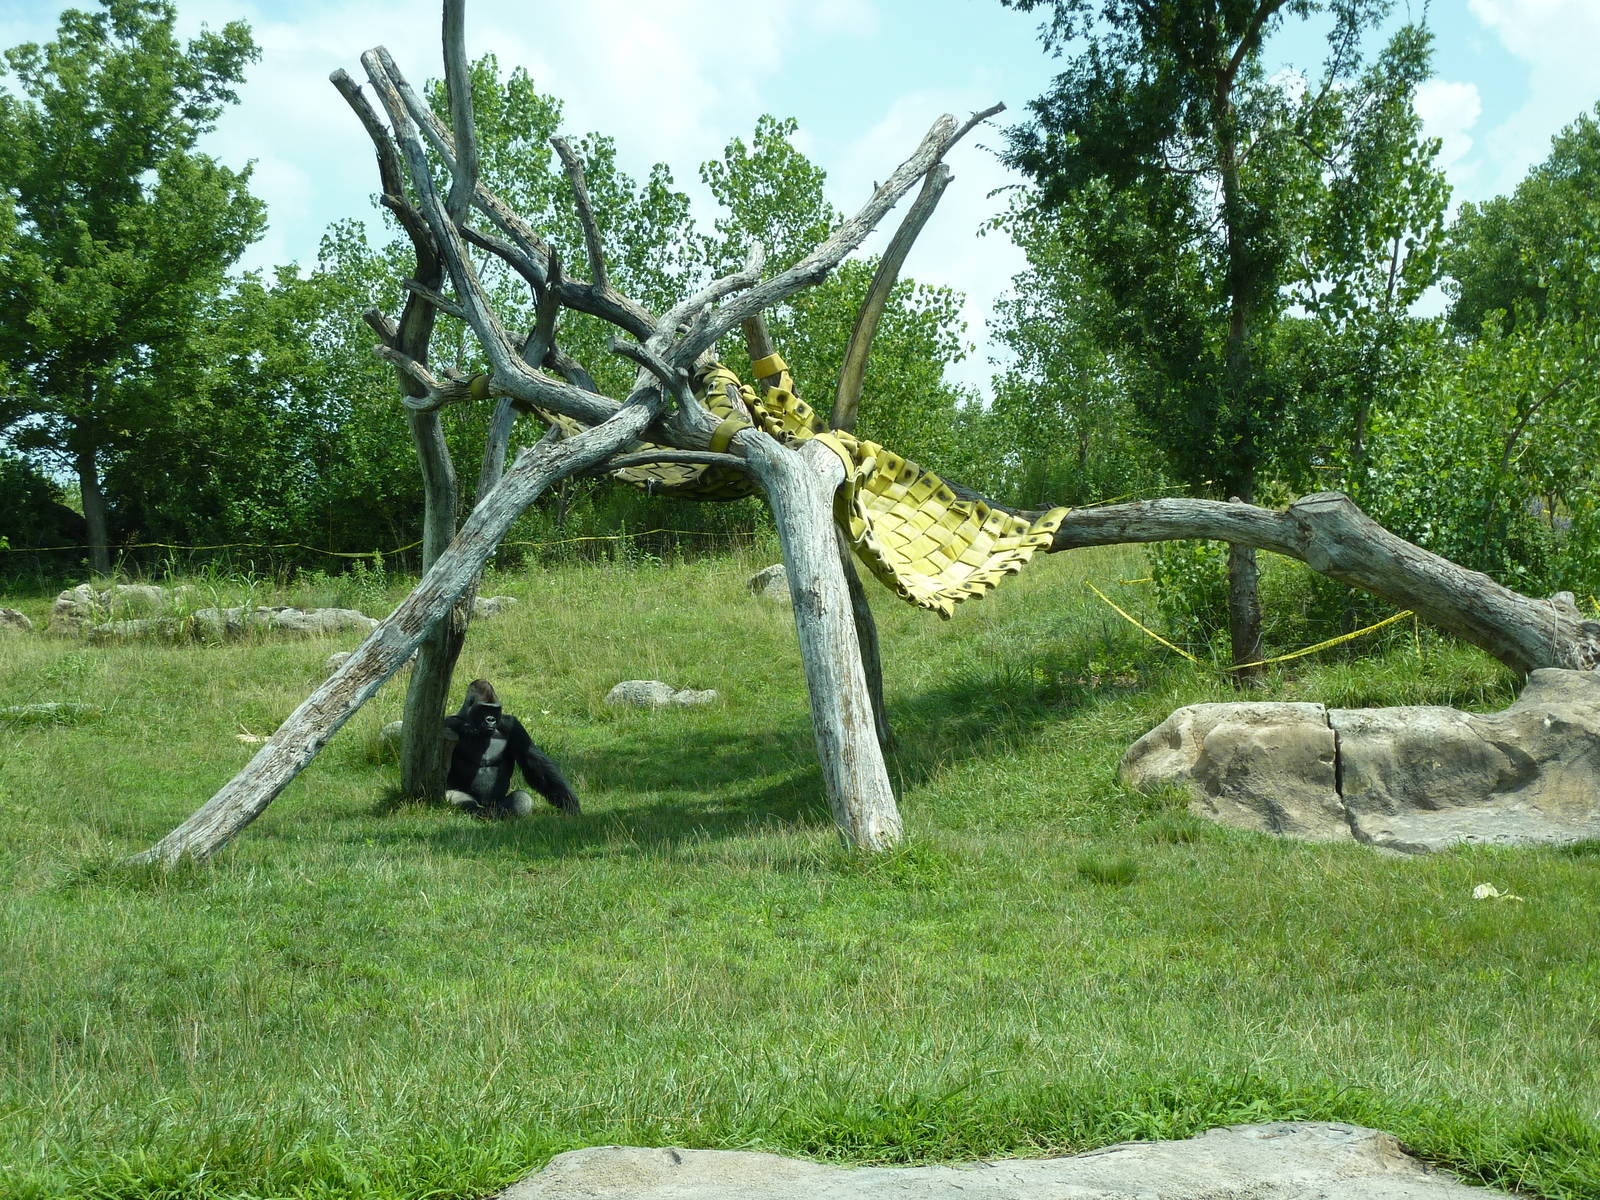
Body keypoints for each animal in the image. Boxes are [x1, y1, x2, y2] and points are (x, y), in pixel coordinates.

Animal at [442, 679, 579, 818]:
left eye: (495, 709)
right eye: (484, 708)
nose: (491, 720)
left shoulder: (512, 725)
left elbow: (533, 762)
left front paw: (569, 802)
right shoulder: (447, 724)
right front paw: (464, 727)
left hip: (497, 804)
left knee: (522, 798)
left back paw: (503, 814)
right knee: (456, 796)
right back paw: (479, 811)